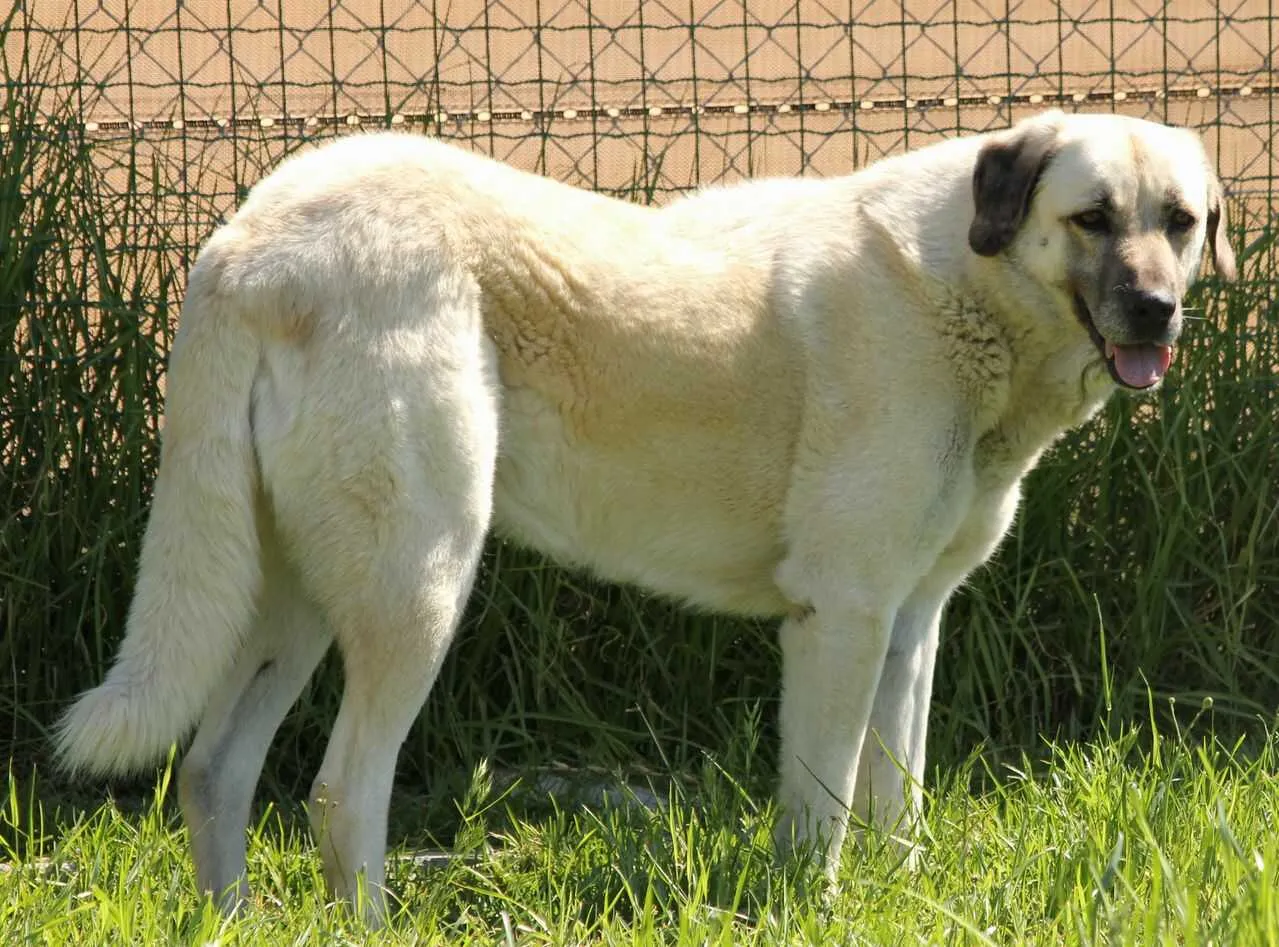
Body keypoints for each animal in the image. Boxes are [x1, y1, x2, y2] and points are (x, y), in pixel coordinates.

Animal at [52, 107, 1238, 921]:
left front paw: (900, 899)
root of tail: (247, 237)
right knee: (342, 792)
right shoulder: (841, 617)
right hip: (418, 580)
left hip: (296, 591)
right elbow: (821, 807)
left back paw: (236, 923)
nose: (1156, 310)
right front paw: (818, 910)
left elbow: (892, 797)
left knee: (215, 770)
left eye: (1180, 223)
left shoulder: (908, 623)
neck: (969, 288)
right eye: (1090, 219)